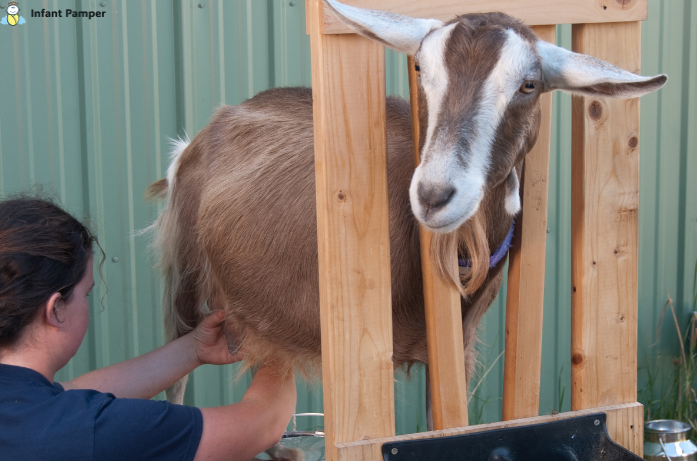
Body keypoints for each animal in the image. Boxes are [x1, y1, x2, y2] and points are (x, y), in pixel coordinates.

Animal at [147, 0, 666, 404]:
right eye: (420, 68)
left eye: (529, 85)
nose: (434, 195)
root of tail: (204, 133)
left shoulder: (455, 348)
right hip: (186, 286)